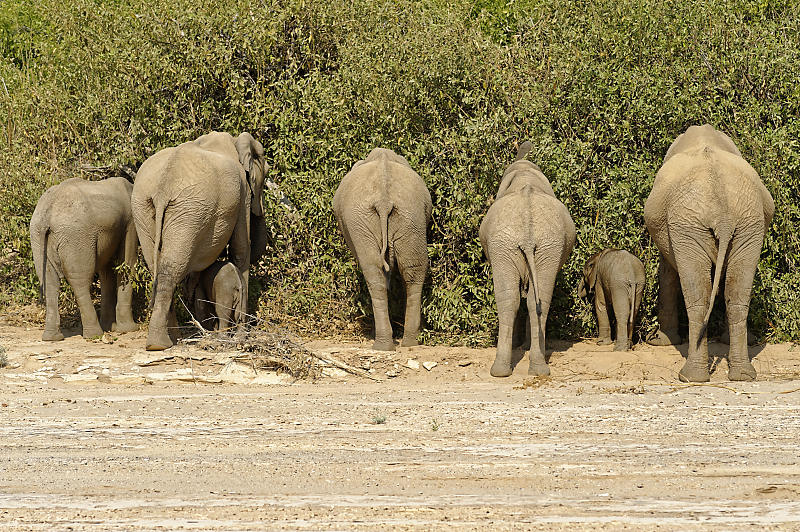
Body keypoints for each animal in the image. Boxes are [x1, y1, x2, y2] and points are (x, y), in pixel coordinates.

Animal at [29, 176, 138, 340]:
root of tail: (47, 214)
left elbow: (107, 270)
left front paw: (111, 327)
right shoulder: (130, 221)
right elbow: (127, 263)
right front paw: (129, 329)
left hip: (38, 237)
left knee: (49, 280)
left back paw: (52, 338)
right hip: (76, 236)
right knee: (80, 280)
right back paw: (94, 335)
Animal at [131, 131, 268, 352]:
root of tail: (162, 188)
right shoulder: (243, 193)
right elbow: (240, 249)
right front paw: (241, 338)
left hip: (148, 207)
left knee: (157, 267)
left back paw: (169, 340)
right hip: (189, 209)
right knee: (170, 269)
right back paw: (160, 344)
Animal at [332, 148, 432, 352]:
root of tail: (384, 200)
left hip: (367, 219)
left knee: (376, 272)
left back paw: (384, 344)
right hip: (409, 215)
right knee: (411, 269)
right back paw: (407, 342)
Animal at [482, 141, 576, 378]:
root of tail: (527, 230)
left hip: (526, 245)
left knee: (517, 299)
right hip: (524, 244)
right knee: (528, 299)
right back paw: (526, 370)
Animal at [644, 124, 776, 382]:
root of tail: (722, 212)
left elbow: (667, 272)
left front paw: (658, 342)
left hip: (690, 223)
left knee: (698, 295)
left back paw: (689, 378)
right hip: (747, 221)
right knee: (737, 293)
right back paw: (743, 375)